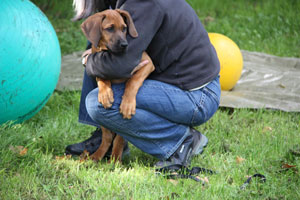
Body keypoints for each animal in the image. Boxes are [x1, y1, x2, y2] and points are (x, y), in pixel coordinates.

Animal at [80, 9, 154, 162]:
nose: (125, 45)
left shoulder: (147, 63)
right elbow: (101, 78)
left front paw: (127, 104)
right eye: (109, 28)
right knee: (107, 137)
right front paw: (105, 94)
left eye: (124, 28)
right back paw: (96, 156)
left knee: (118, 136)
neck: (107, 51)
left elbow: (132, 81)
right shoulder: (96, 63)